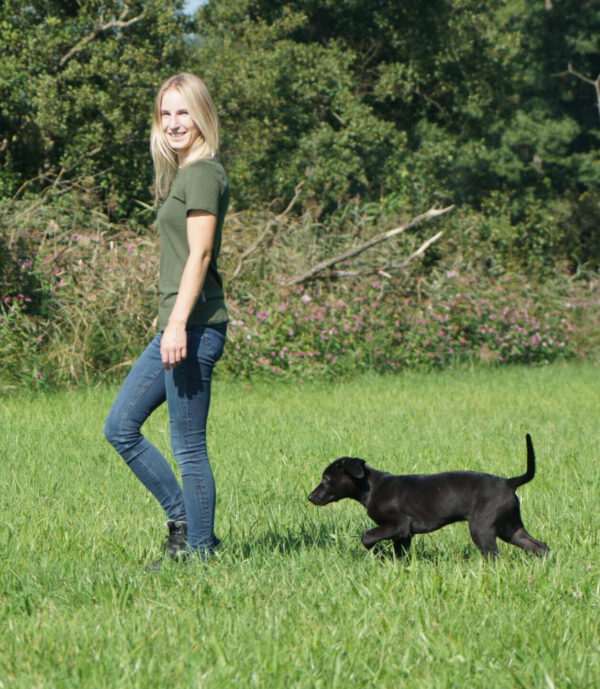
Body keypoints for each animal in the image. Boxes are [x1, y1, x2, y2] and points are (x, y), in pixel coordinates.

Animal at [310, 436, 548, 560]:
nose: (310, 497)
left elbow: (366, 536)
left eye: (326, 478)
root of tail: (509, 482)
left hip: (483, 528)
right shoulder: (403, 535)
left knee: (494, 556)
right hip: (510, 527)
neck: (372, 488)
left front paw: (377, 553)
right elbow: (399, 554)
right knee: (540, 546)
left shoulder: (397, 525)